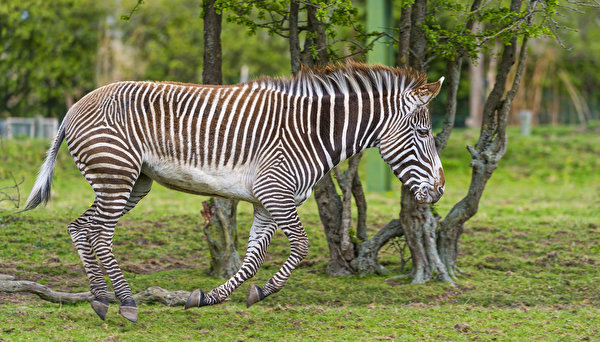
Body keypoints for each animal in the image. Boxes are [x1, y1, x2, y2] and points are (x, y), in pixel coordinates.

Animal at [24, 62, 446, 322]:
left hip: (133, 182)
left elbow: (252, 259)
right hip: (115, 175)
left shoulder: (266, 203)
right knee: (99, 234)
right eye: (424, 132)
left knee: (80, 228)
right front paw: (263, 292)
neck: (313, 133)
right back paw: (125, 302)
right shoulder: (276, 192)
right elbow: (301, 246)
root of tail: (75, 106)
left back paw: (99, 299)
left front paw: (212, 297)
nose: (440, 191)